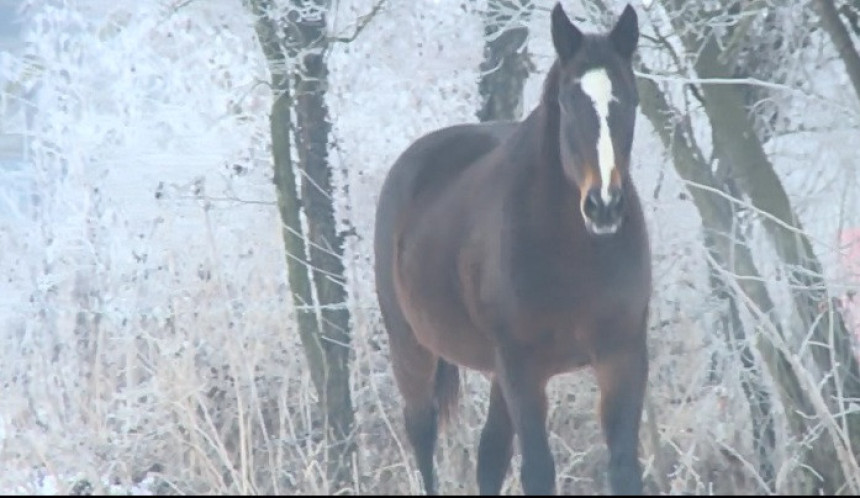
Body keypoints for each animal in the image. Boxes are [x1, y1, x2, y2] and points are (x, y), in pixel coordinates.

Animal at [374, 2, 652, 494]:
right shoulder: (523, 369)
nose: (603, 206)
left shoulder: (623, 356)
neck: (576, 256)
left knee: (489, 456)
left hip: (496, 373)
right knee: (422, 434)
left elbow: (623, 468)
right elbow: (538, 471)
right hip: (412, 348)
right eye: (568, 102)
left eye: (631, 101)